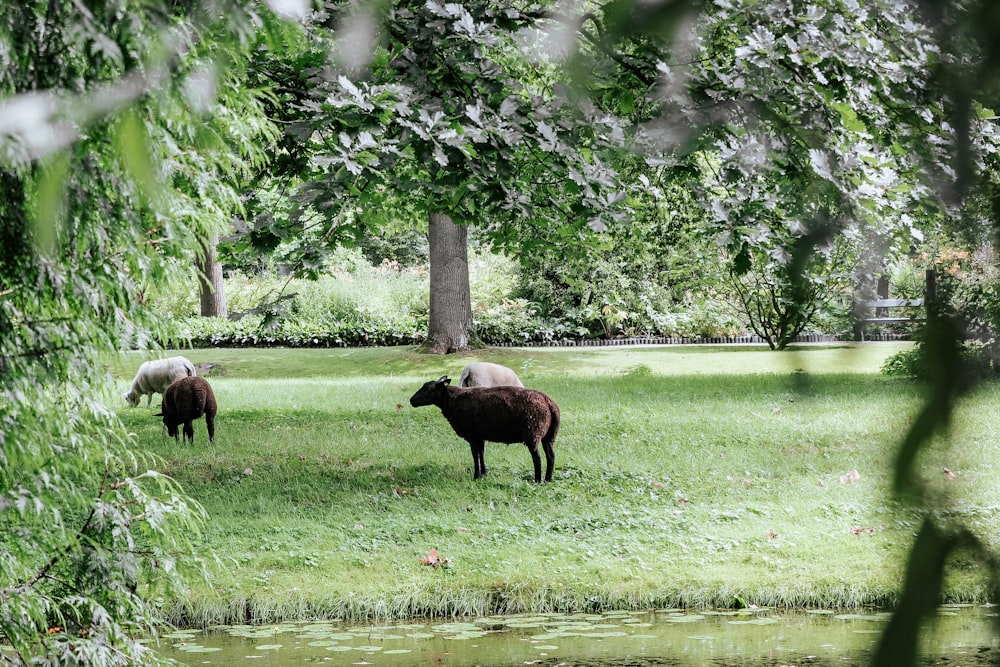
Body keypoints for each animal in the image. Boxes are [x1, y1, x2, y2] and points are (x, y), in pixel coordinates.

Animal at [408, 376, 564, 480]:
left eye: (429, 389)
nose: (411, 400)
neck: (452, 400)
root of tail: (549, 403)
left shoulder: (471, 434)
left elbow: (474, 455)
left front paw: (476, 476)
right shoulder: (479, 435)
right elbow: (481, 453)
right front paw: (484, 473)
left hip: (533, 432)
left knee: (537, 458)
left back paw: (537, 480)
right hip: (549, 435)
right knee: (551, 456)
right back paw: (548, 479)